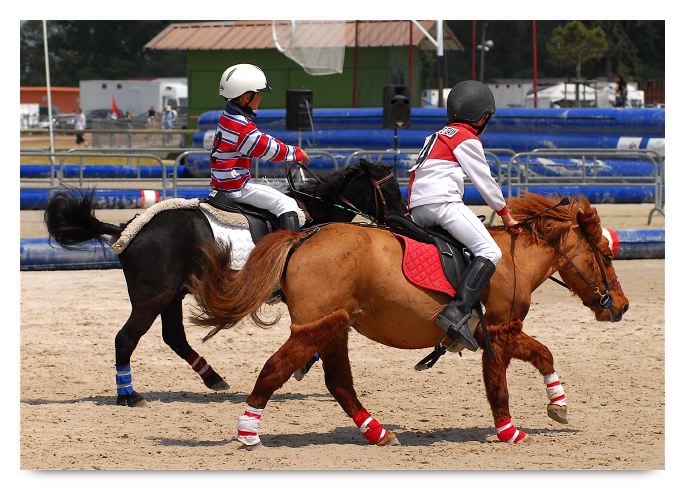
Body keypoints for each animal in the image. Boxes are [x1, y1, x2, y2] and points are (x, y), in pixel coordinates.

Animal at [43, 160, 407, 407]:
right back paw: (128, 394)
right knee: (125, 338)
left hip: (171, 296)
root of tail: (127, 228)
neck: (315, 215)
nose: (403, 220)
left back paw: (212, 378)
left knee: (173, 337)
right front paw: (305, 363)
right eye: (389, 190)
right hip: (151, 299)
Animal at [190, 193, 629, 447]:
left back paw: (377, 431)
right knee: (275, 369)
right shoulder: (501, 331)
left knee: (339, 384)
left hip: (333, 326)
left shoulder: (499, 333)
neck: (512, 260)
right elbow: (511, 376)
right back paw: (248, 432)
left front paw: (553, 407)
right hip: (316, 328)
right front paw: (518, 425)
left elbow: (533, 360)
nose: (622, 307)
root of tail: (304, 237)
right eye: (607, 255)